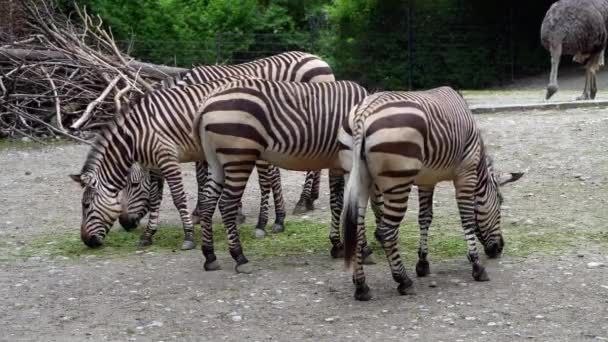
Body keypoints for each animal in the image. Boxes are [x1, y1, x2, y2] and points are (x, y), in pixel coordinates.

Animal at [70, 76, 284, 250]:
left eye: (86, 206)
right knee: (273, 175)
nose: (87, 242)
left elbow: (178, 198)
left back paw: (263, 224)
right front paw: (148, 235)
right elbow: (155, 198)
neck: (136, 134)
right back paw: (278, 220)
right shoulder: (154, 165)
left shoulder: (167, 158)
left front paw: (188, 236)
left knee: (266, 180)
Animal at [119, 50, 334, 234]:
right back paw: (310, 199)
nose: (125, 223)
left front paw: (205, 211)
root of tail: (317, 58)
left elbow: (202, 177)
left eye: (133, 184)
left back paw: (303, 200)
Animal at [194, 77, 370, 272]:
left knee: (208, 202)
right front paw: (363, 249)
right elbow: (355, 206)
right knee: (226, 204)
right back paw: (239, 256)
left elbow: (337, 204)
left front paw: (337, 245)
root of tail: (207, 102)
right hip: (239, 156)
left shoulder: (337, 165)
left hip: (215, 160)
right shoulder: (350, 163)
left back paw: (209, 255)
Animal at [340, 87, 524, 300]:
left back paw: (361, 286)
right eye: (500, 202)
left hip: (357, 178)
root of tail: (365, 111)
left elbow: (425, 218)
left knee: (358, 231)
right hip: (398, 183)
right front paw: (477, 266)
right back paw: (403, 281)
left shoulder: (426, 181)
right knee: (386, 232)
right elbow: (468, 219)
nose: (499, 248)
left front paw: (423, 264)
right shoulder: (466, 175)